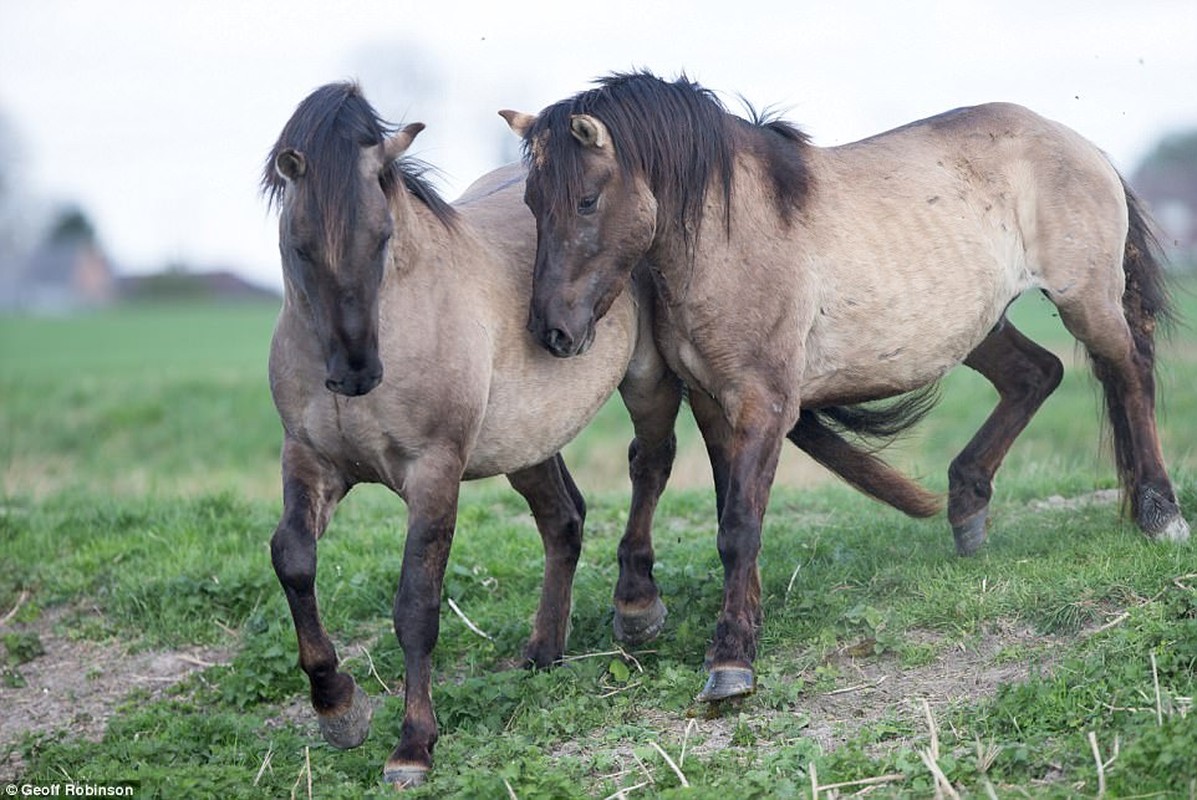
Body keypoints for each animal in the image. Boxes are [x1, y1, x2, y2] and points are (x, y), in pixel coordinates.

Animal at [262, 82, 689, 785]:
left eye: (382, 236)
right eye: (300, 245)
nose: (356, 375)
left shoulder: (434, 471)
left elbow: (416, 606)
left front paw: (413, 744)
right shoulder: (310, 458)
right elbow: (293, 559)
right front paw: (338, 709)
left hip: (649, 381)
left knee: (649, 465)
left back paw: (636, 608)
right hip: (528, 441)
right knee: (563, 520)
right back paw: (542, 652)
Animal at [502, 71, 1187, 704]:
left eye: (587, 200)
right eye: (532, 202)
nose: (552, 331)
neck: (731, 237)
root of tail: (1083, 145)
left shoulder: (765, 403)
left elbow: (739, 525)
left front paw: (731, 661)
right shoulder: (712, 403)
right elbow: (729, 510)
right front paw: (744, 623)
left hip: (1085, 299)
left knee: (1128, 374)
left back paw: (1160, 514)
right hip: (977, 326)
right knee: (1036, 374)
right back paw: (968, 508)